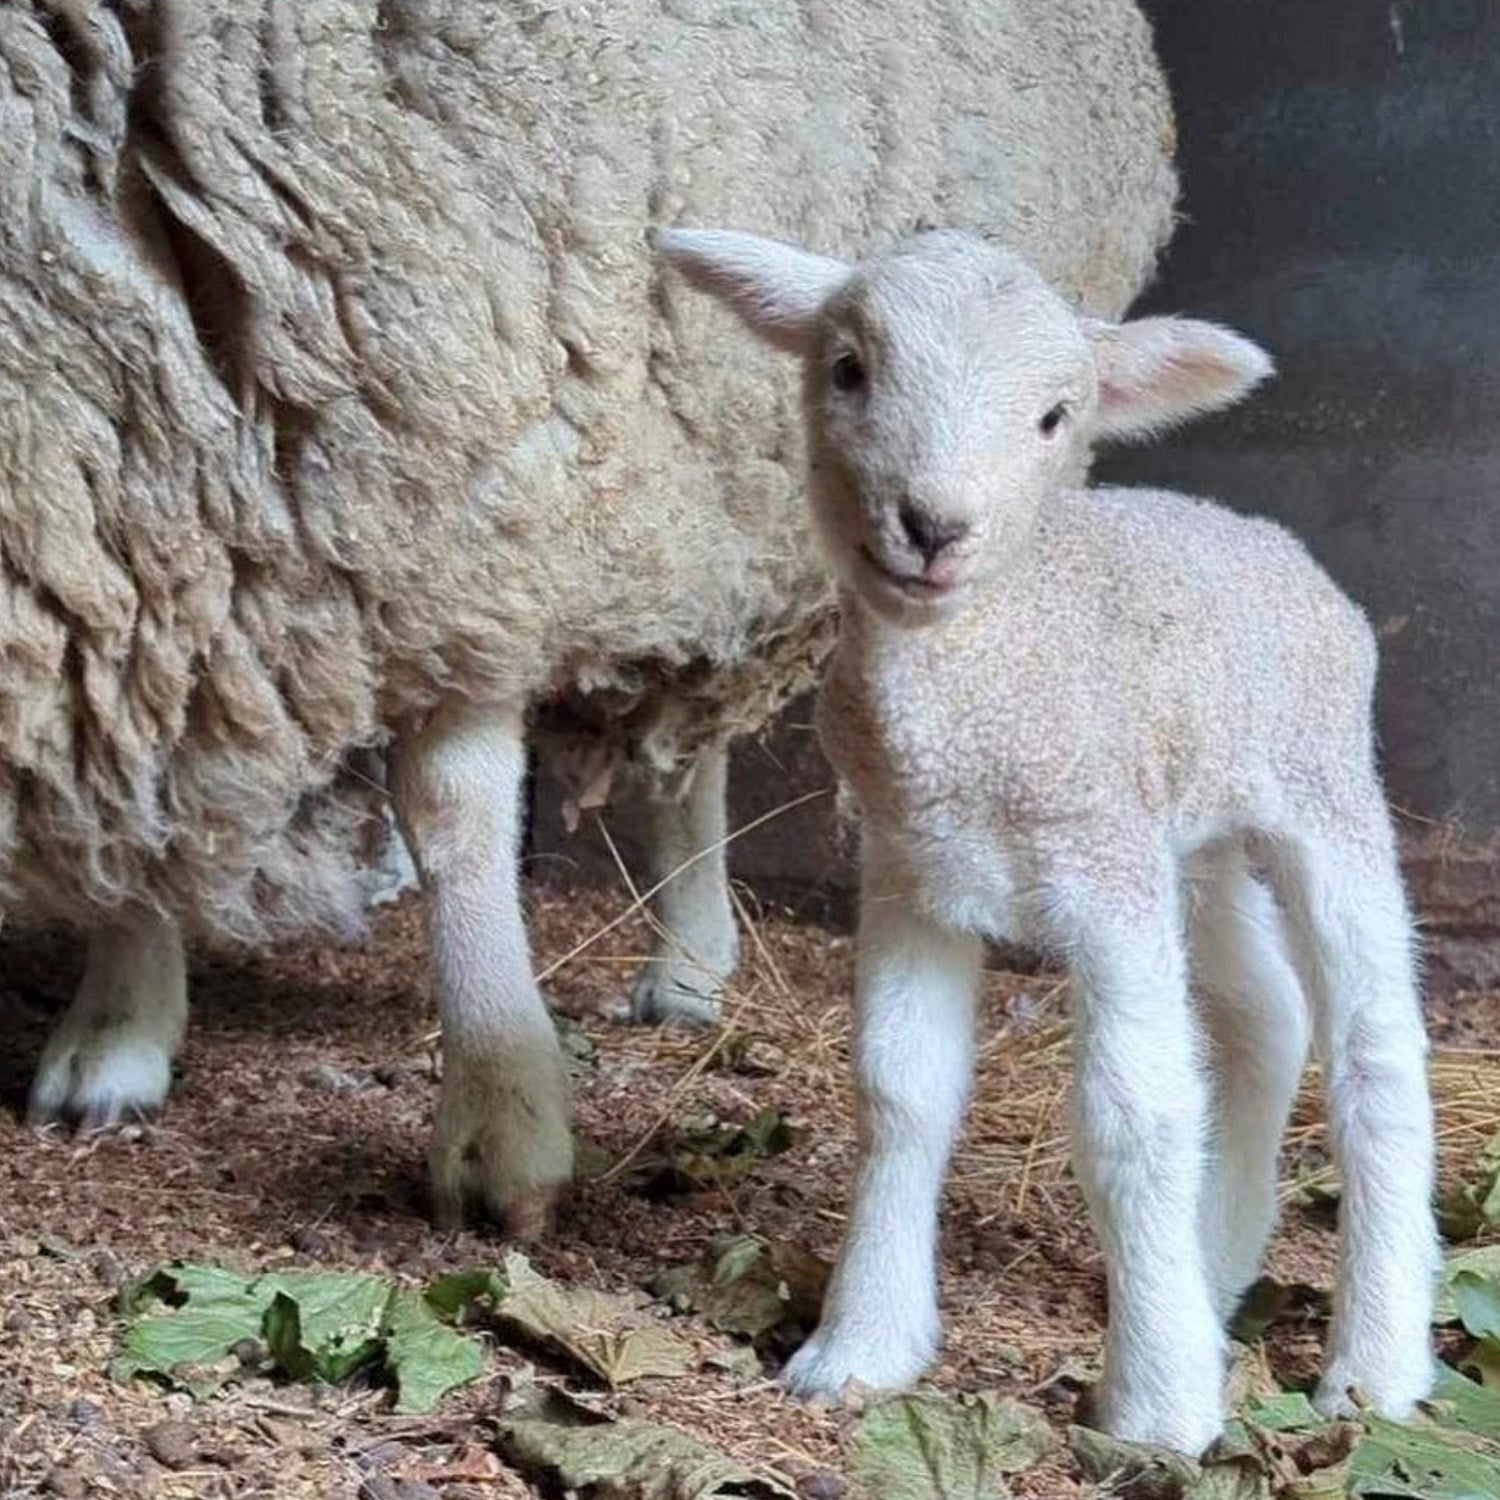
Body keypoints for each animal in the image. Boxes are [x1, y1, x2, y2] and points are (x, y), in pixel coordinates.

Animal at [5, 0, 1178, 1232]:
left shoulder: (471, 499)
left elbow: (456, 815)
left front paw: (499, 1111)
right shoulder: (150, 501)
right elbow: (141, 791)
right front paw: (117, 1028)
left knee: (695, 755)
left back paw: (690, 958)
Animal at [655, 226, 1439, 1453]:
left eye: (1055, 418)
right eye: (848, 370)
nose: (932, 528)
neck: (986, 668)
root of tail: (1263, 537)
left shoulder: (1102, 875)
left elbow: (1135, 1116)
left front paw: (1160, 1406)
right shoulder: (910, 869)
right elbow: (900, 1092)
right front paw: (861, 1347)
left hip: (1321, 789)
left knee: (1377, 1050)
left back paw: (1373, 1366)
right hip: (1189, 838)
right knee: (1268, 1014)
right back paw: (1212, 1272)